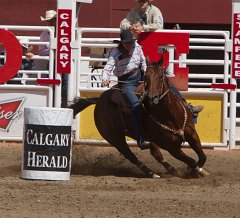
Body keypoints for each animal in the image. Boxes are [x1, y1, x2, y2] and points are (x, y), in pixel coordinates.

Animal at [68, 56, 209, 179]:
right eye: (146, 77)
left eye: (161, 75)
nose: (152, 98)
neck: (171, 117)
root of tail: (99, 101)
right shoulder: (170, 147)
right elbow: (191, 161)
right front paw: (194, 171)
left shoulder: (192, 134)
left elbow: (202, 157)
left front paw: (200, 170)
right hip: (114, 138)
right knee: (131, 156)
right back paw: (152, 173)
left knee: (156, 154)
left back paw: (172, 170)